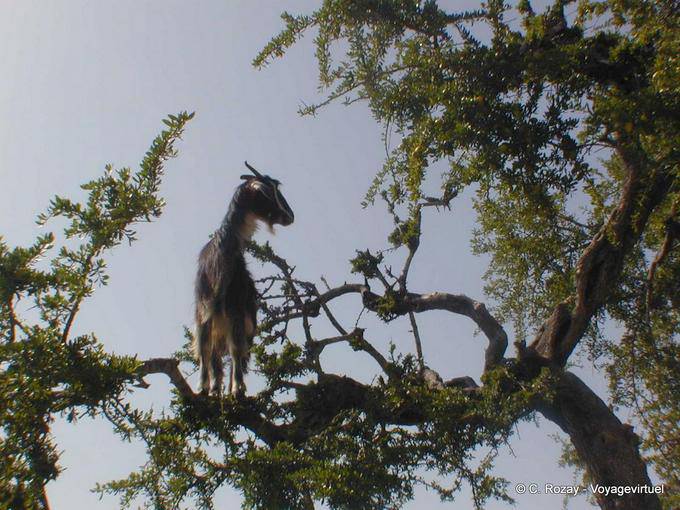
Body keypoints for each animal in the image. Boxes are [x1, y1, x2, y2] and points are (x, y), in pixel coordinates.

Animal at [194, 161, 294, 396]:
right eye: (268, 193)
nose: (290, 216)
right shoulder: (207, 310)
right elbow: (206, 348)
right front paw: (207, 387)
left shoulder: (231, 311)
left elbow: (230, 350)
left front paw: (233, 388)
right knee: (221, 354)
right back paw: (218, 389)